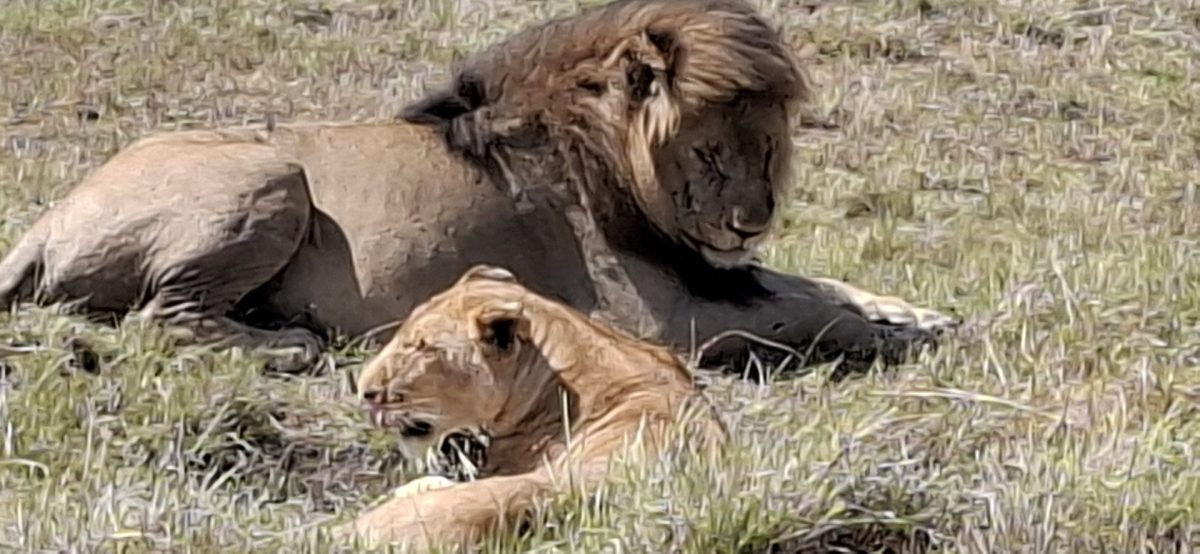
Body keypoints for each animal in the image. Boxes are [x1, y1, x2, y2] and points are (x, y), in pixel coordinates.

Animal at [0, 0, 955, 375]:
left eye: (769, 151)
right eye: (712, 154)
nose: (750, 222)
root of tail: (45, 223)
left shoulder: (711, 273)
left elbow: (808, 283)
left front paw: (912, 311)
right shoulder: (656, 318)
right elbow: (801, 313)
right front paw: (894, 337)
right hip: (271, 174)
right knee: (165, 320)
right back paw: (292, 343)